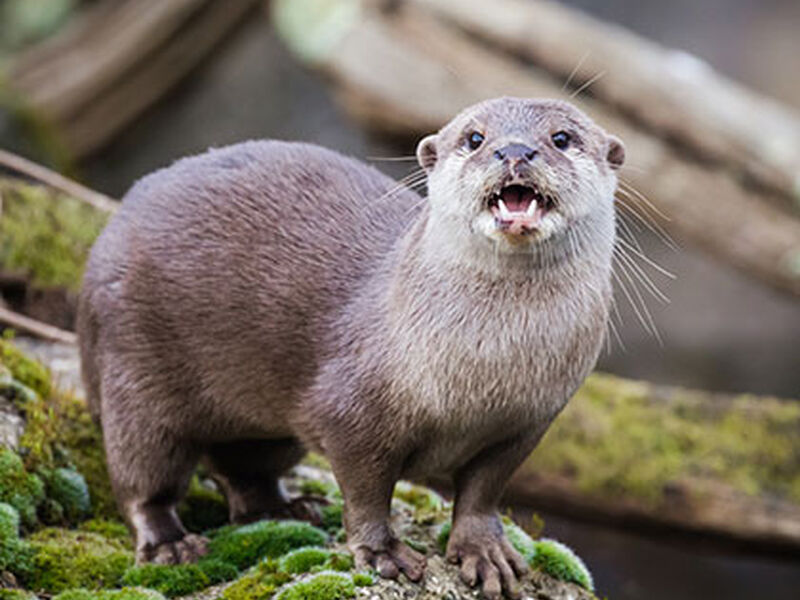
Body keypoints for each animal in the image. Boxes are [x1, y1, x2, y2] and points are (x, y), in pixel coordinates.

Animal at [76, 98, 624, 600]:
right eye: (474, 138)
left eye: (561, 138)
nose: (514, 151)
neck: (486, 375)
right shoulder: (351, 409)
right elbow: (366, 490)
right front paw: (382, 553)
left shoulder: (527, 424)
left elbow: (482, 493)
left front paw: (484, 552)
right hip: (133, 370)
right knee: (143, 474)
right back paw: (171, 544)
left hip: (264, 425)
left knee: (242, 467)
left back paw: (284, 509)